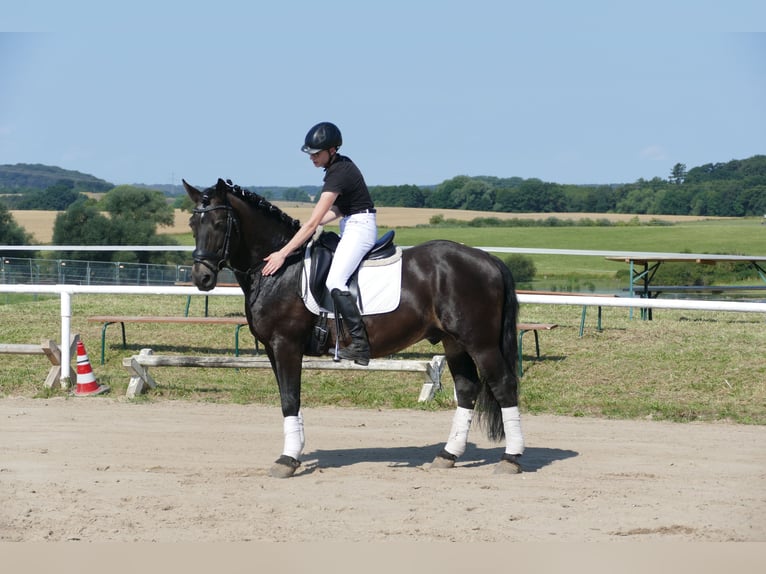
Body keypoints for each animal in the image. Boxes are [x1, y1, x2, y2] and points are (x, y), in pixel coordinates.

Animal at [183, 178, 524, 480]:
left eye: (219, 223)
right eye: (192, 224)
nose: (202, 278)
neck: (280, 268)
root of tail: (489, 260)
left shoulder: (286, 345)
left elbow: (290, 398)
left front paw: (287, 460)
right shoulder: (271, 349)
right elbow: (286, 399)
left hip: (480, 343)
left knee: (504, 385)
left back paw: (511, 458)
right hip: (454, 343)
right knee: (467, 390)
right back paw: (447, 455)